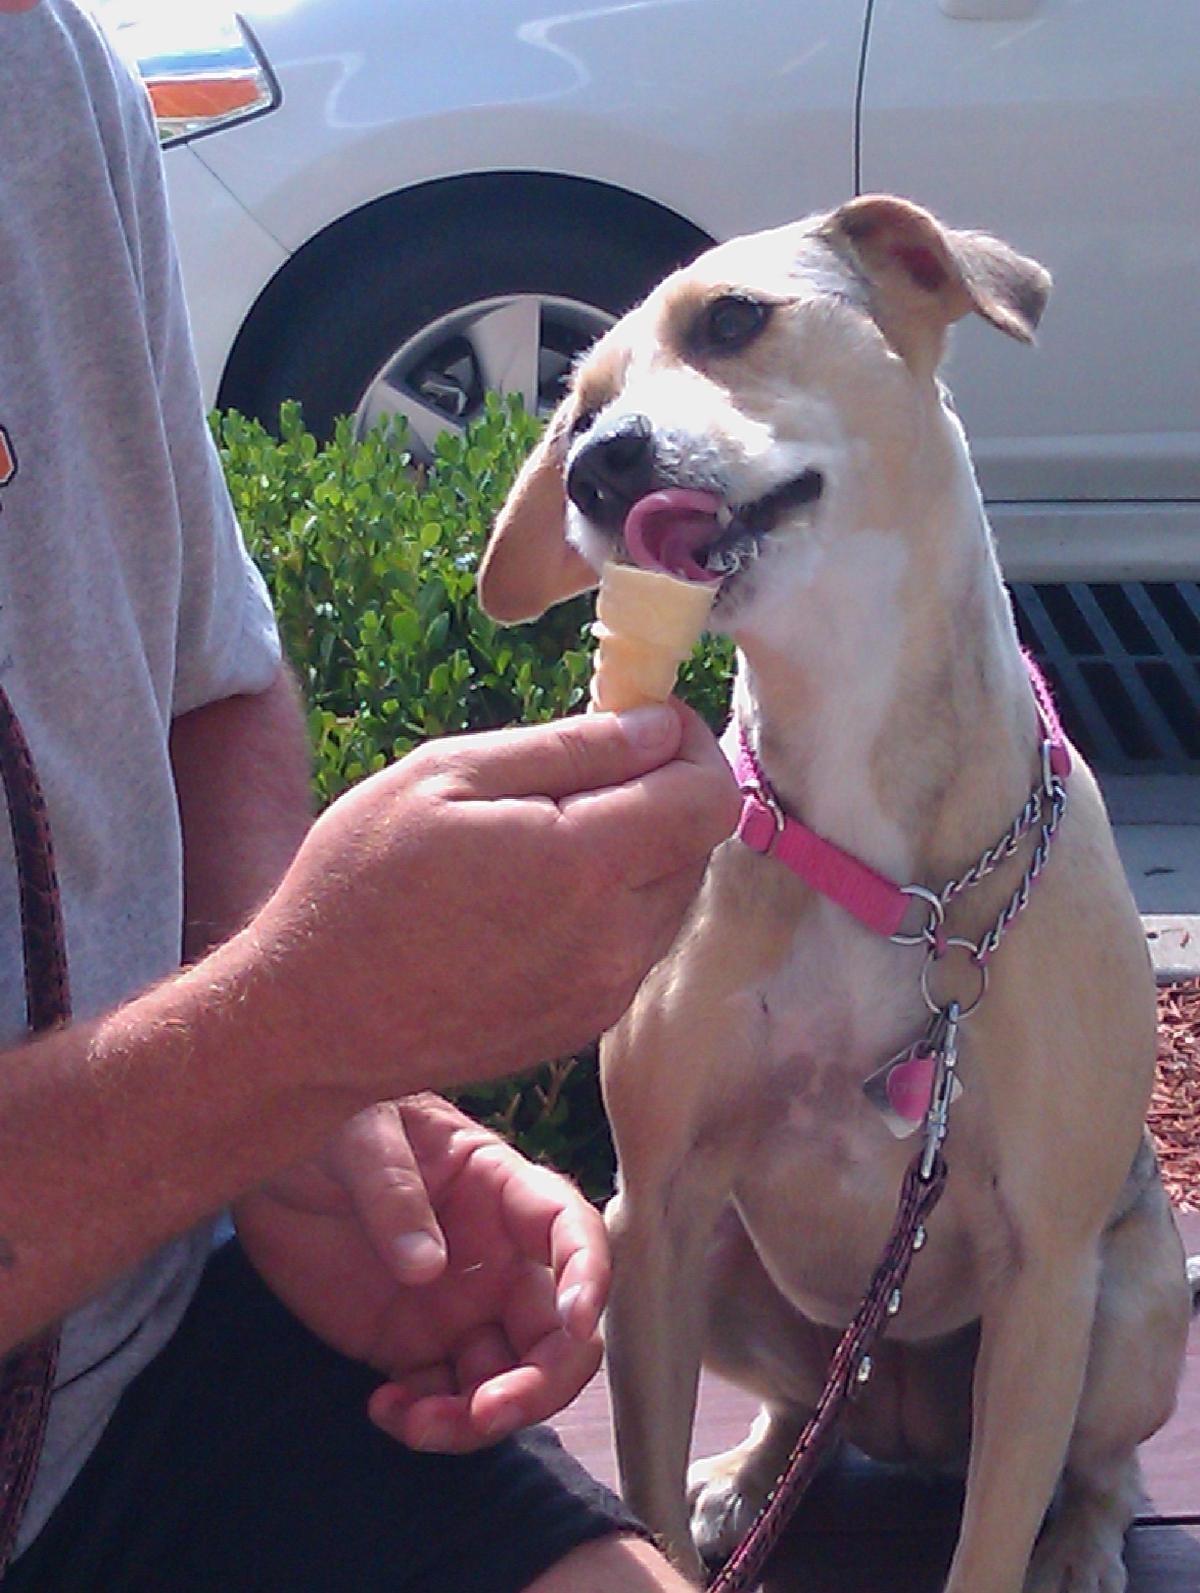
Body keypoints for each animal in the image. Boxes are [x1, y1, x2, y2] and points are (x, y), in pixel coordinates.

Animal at [474, 199, 1192, 1593]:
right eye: (578, 407)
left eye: (733, 318)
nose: (600, 469)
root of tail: (902, 1410)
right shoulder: (658, 1212)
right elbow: (642, 1485)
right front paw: (685, 1511)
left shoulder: (1047, 1271)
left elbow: (993, 1537)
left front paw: (1037, 1541)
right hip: (714, 1270)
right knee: (806, 1408)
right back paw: (755, 1478)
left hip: (1135, 1301)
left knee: (1098, 1462)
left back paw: (1082, 1540)